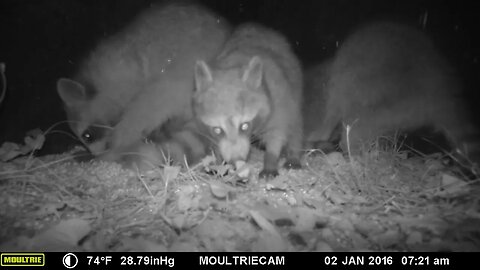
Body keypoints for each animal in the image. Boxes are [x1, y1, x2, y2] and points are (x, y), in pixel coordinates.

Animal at [193, 23, 302, 179]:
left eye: (244, 126)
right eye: (218, 130)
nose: (236, 160)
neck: (233, 64)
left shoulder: (278, 98)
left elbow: (277, 133)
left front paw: (270, 158)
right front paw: (219, 163)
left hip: (294, 87)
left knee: (296, 125)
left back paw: (294, 154)